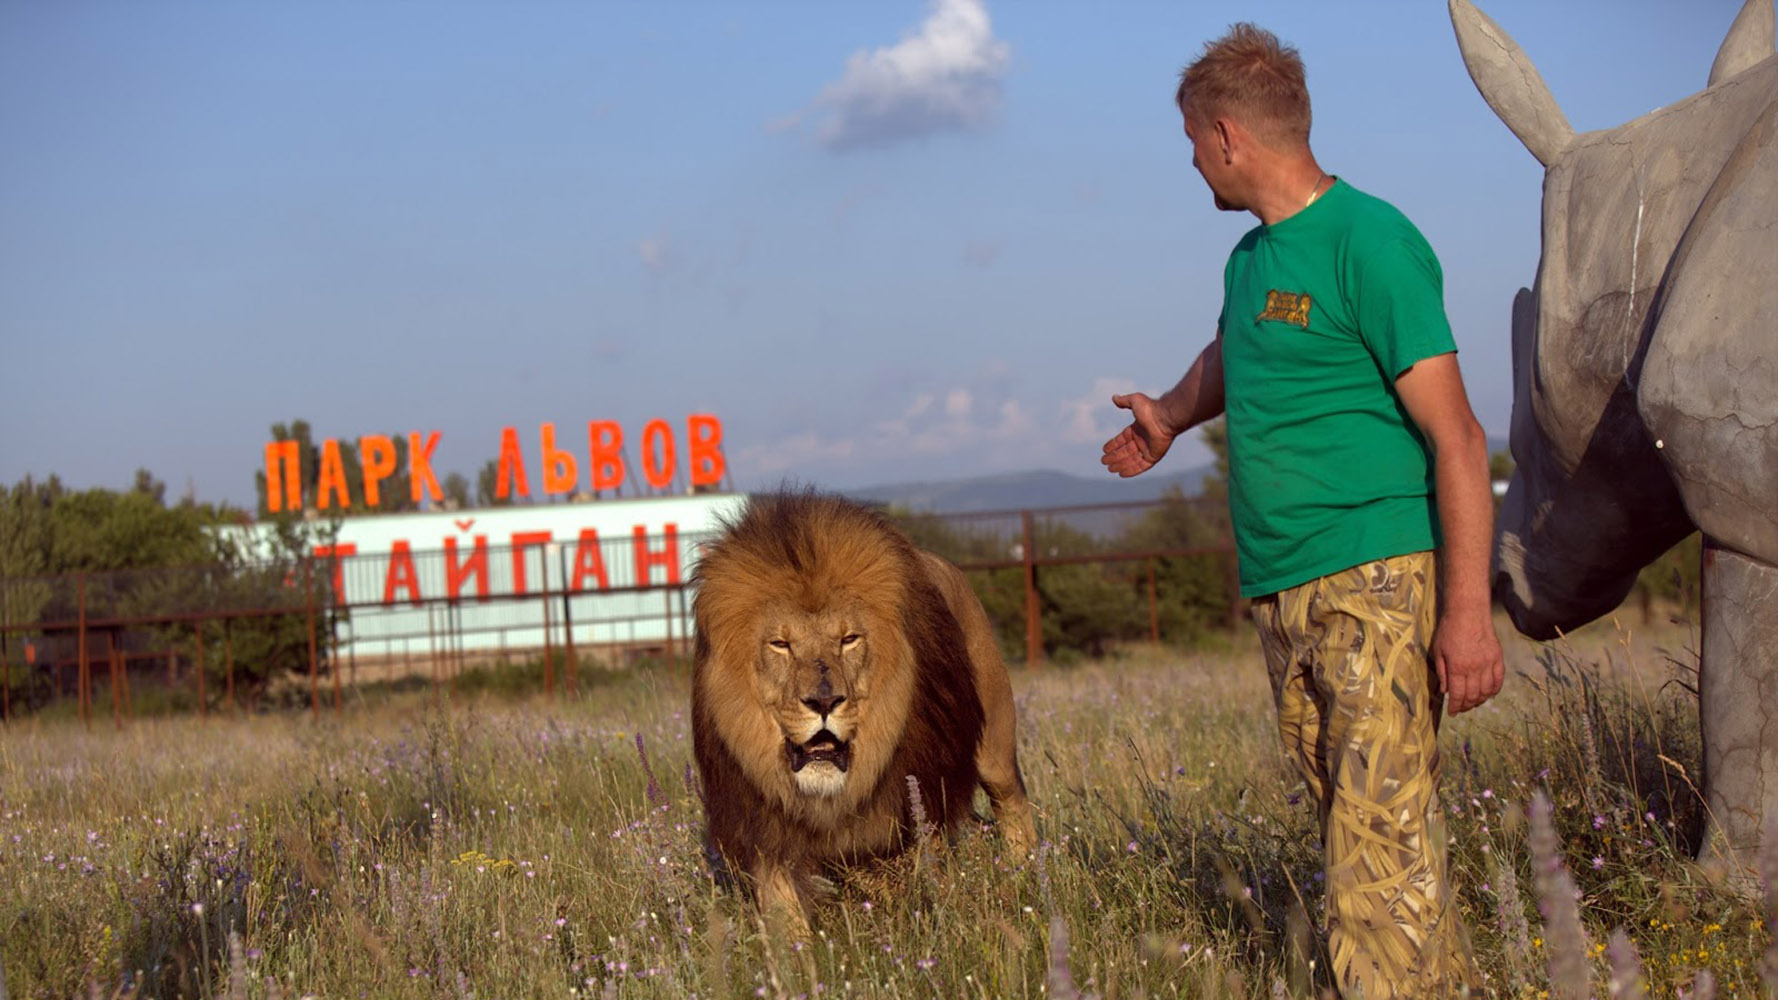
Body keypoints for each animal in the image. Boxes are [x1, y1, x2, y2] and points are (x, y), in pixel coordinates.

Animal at [686, 491, 1038, 925]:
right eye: (780, 645)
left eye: (849, 639)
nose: (823, 701)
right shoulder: (766, 829)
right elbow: (787, 918)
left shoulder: (919, 800)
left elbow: (921, 877)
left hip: (995, 748)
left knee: (1014, 805)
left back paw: (1025, 874)